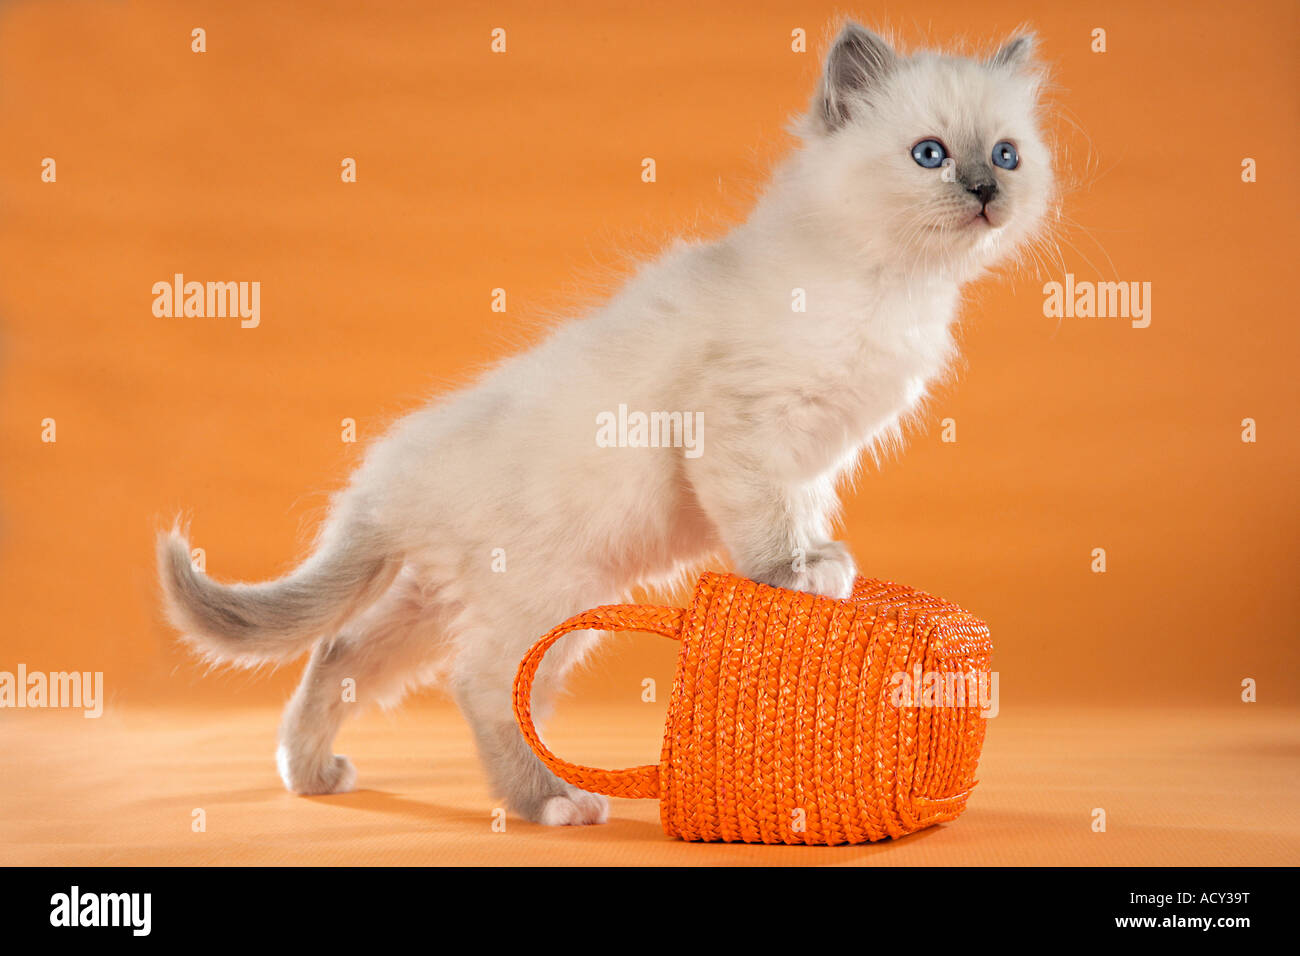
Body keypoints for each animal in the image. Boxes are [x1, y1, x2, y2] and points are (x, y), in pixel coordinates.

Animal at [159, 26, 1055, 827]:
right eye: (930, 155)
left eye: (1006, 156)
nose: (985, 191)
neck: (894, 286)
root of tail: (388, 478)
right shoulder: (739, 426)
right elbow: (766, 525)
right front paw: (796, 575)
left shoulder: (807, 461)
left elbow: (797, 513)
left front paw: (821, 563)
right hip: (542, 597)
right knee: (477, 683)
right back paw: (551, 802)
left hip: (462, 605)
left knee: (343, 655)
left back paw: (311, 774)